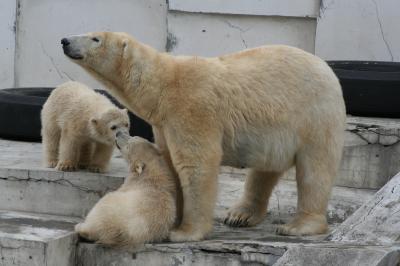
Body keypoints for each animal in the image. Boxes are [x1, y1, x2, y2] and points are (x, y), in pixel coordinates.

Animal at [61, 31, 346, 241]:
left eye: (95, 38)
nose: (65, 40)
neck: (163, 84)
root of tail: (327, 68)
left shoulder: (192, 107)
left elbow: (195, 164)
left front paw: (183, 232)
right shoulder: (163, 122)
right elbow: (169, 161)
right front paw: (173, 218)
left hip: (315, 114)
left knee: (315, 170)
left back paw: (298, 226)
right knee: (264, 170)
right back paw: (239, 215)